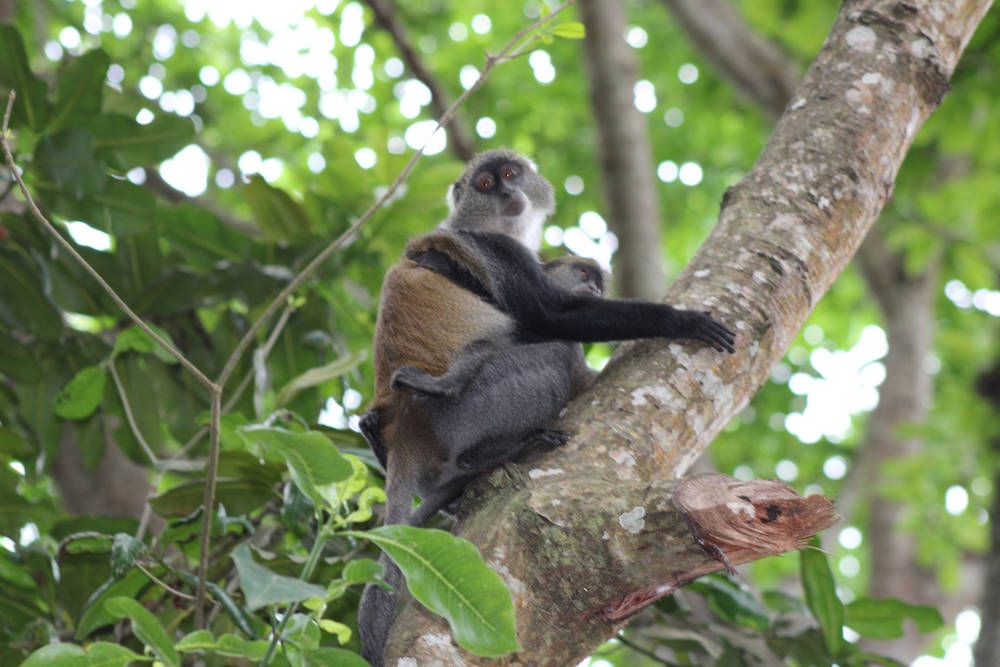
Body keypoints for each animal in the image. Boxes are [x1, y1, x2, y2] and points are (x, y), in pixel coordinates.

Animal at [358, 149, 736, 665]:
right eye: (487, 182)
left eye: (511, 174)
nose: (506, 191)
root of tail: (405, 433)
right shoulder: (500, 254)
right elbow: (549, 317)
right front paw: (681, 320)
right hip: (465, 410)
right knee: (547, 353)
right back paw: (480, 450)